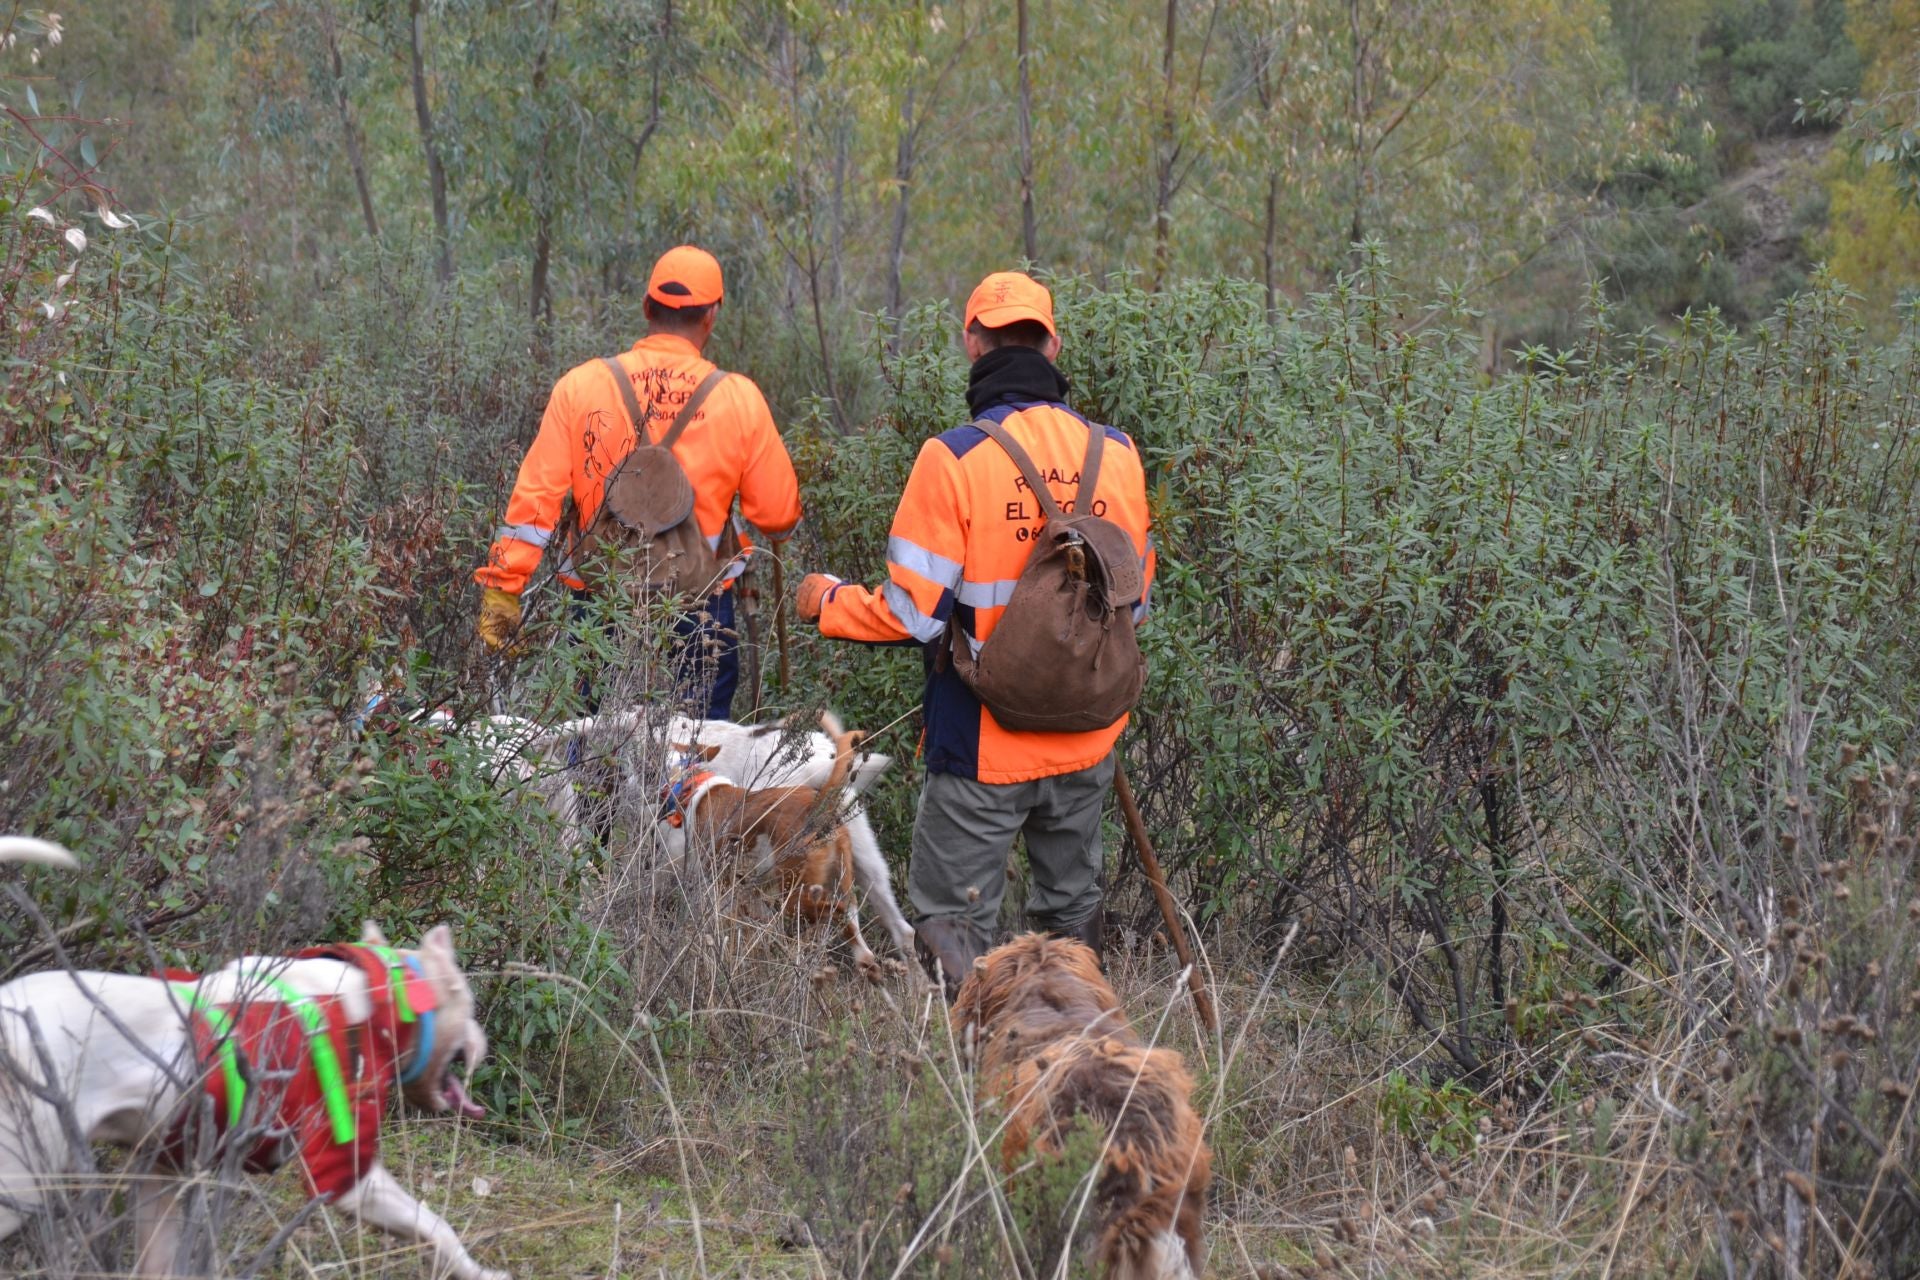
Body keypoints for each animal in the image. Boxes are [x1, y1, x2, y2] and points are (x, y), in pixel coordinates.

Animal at [0, 836, 510, 1280]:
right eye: (467, 1000)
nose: (482, 1043)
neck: (367, 997)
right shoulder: (347, 1174)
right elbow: (436, 1226)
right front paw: (479, 1273)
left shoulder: (160, 1172)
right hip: (20, 1180)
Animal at [668, 717, 883, 974]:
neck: (697, 784)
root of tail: (818, 807)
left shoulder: (717, 882)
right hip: (842, 881)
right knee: (857, 932)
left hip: (793, 895)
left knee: (833, 911)